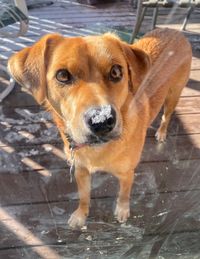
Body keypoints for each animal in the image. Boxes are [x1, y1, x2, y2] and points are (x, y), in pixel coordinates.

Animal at [8, 27, 192, 229]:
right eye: (62, 75)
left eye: (116, 71)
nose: (102, 121)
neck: (96, 150)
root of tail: (174, 30)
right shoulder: (80, 170)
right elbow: (84, 197)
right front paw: (81, 215)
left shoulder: (127, 174)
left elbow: (124, 195)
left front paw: (122, 210)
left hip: (174, 94)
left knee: (167, 115)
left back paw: (161, 132)